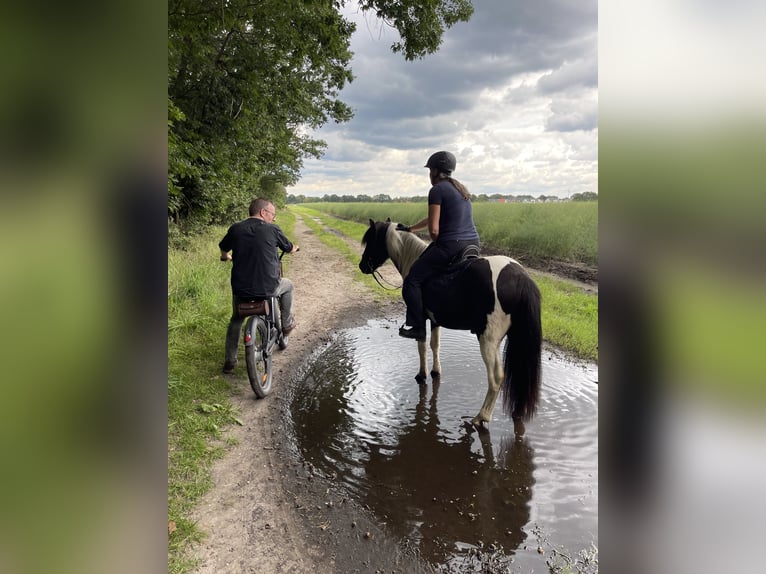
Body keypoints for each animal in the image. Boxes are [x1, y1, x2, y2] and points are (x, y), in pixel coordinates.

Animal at [362, 218, 544, 430]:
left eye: (371, 240)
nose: (362, 266)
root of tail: (521, 277)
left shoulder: (420, 319)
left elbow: (421, 345)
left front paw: (422, 375)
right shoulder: (435, 320)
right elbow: (435, 345)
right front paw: (435, 372)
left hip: (488, 340)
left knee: (496, 378)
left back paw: (481, 417)